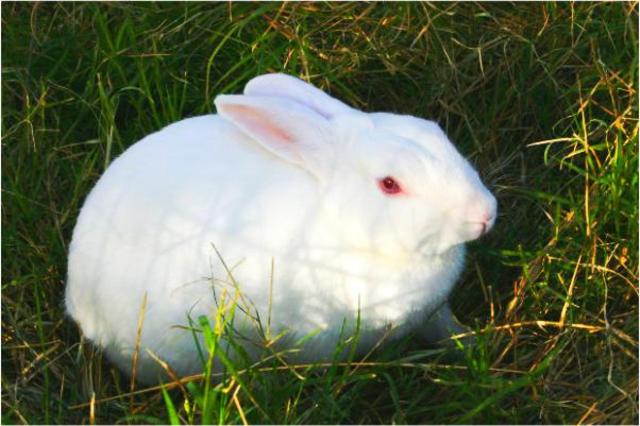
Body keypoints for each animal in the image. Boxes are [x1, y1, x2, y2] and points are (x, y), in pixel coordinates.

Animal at [65, 73, 497, 384]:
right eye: (389, 184)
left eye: (435, 131)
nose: (485, 213)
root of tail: (79, 303)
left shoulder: (432, 313)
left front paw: (472, 343)